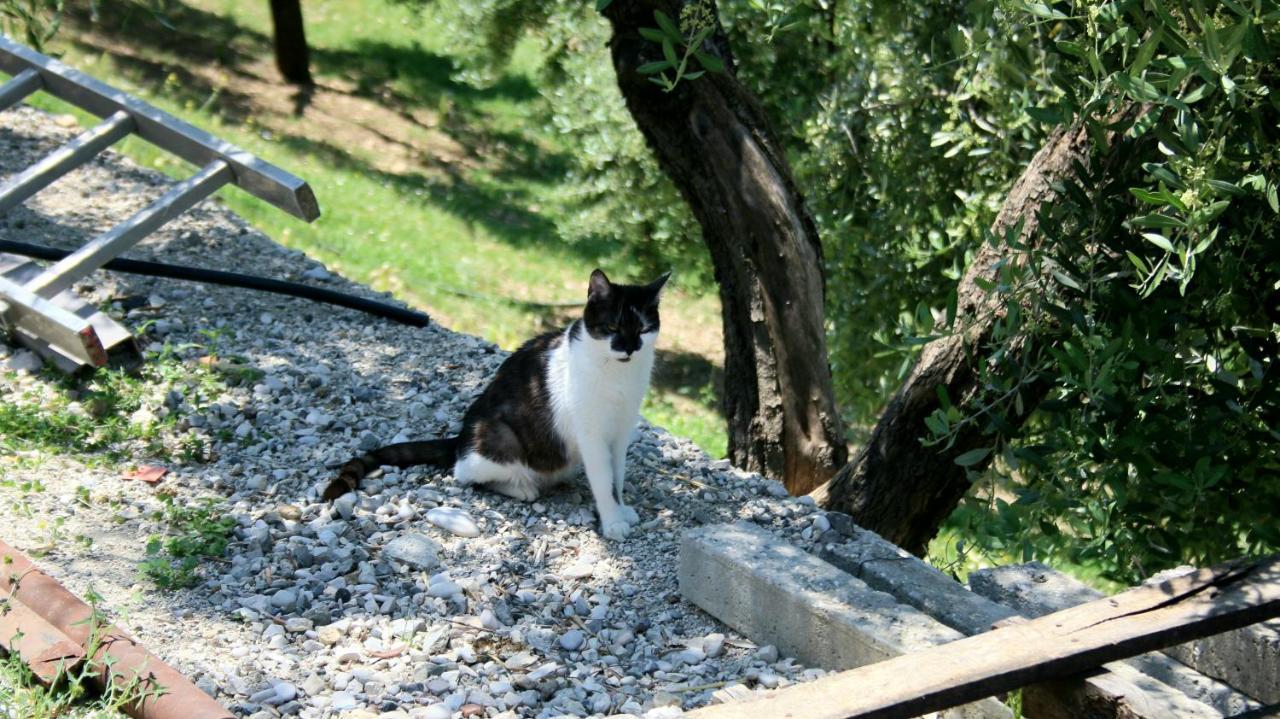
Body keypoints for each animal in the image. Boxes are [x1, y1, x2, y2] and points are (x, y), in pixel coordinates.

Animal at [325, 268, 670, 537]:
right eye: (612, 328)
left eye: (642, 329)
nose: (629, 348)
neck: (618, 376)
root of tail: (461, 438)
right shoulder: (592, 435)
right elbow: (603, 480)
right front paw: (612, 521)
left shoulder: (621, 432)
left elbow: (617, 477)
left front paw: (621, 509)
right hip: (499, 437)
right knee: (466, 473)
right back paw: (522, 486)